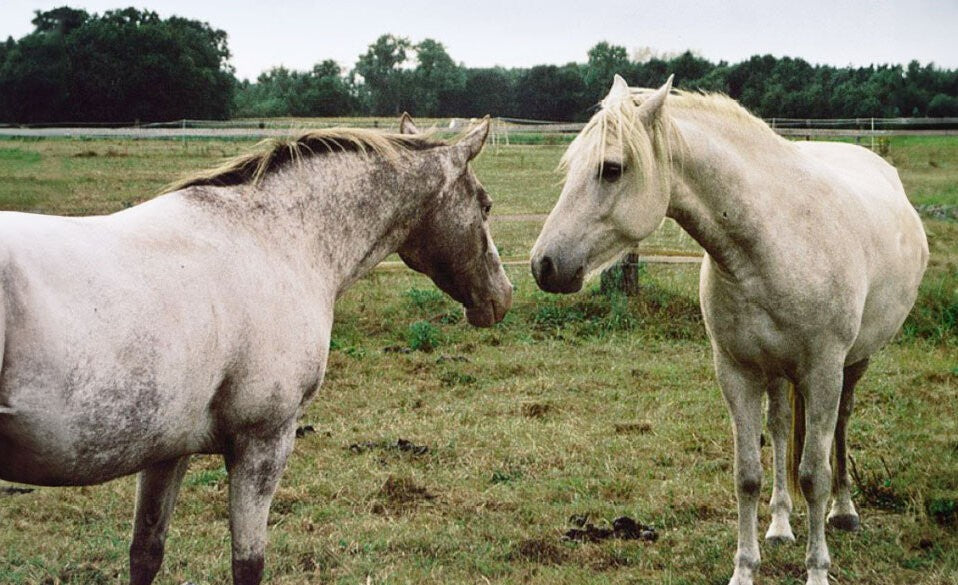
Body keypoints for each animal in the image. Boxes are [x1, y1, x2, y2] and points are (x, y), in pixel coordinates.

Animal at [0, 114, 512, 585]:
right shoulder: (263, 441)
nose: (501, 296)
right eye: (485, 205)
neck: (275, 238)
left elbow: (146, 552)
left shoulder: (167, 451)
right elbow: (248, 564)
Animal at [530, 75, 928, 585]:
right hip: (776, 373)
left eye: (611, 169)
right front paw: (745, 567)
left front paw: (817, 569)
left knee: (840, 425)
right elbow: (747, 475)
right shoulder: (736, 372)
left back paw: (844, 511)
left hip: (854, 363)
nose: (544, 265)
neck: (776, 240)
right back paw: (779, 524)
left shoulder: (823, 372)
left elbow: (813, 475)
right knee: (780, 428)